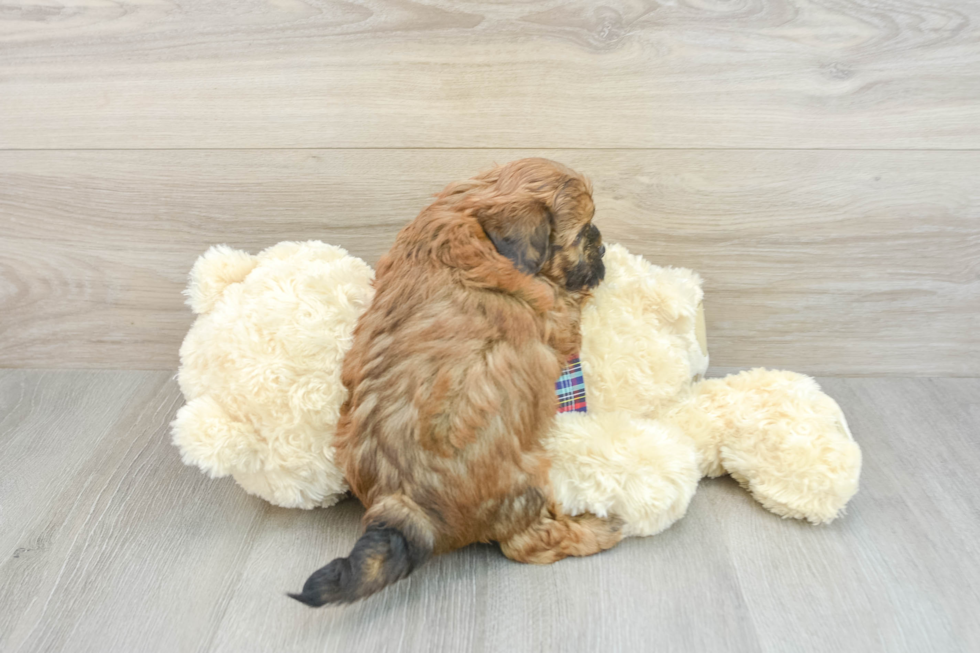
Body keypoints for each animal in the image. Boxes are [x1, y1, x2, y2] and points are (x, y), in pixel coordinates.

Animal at [290, 158, 620, 608]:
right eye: (584, 230)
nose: (602, 247)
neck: (469, 219)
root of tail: (405, 503)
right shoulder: (555, 312)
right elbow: (567, 304)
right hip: (525, 482)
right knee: (530, 543)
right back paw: (596, 529)